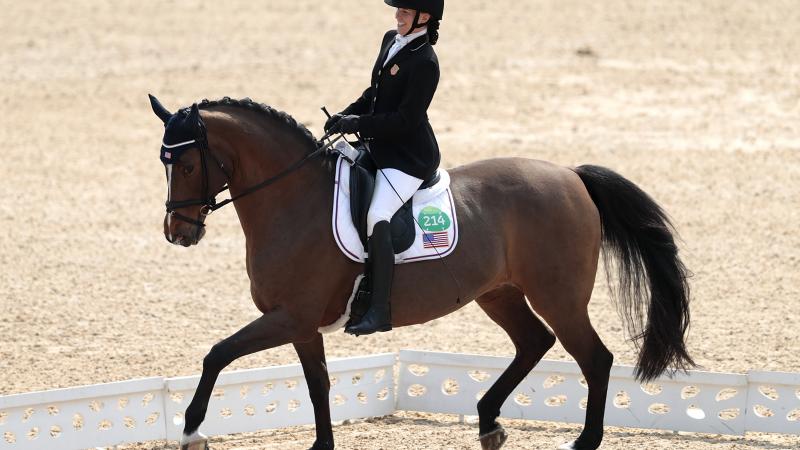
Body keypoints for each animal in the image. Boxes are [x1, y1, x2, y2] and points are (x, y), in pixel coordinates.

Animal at [150, 96, 692, 450]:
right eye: (164, 163)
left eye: (189, 165)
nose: (178, 232)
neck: (292, 200)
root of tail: (571, 176)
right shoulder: (302, 327)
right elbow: (318, 388)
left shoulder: (289, 317)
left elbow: (217, 354)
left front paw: (192, 429)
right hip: (499, 293)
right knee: (534, 342)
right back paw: (488, 422)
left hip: (558, 297)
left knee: (595, 358)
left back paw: (581, 441)